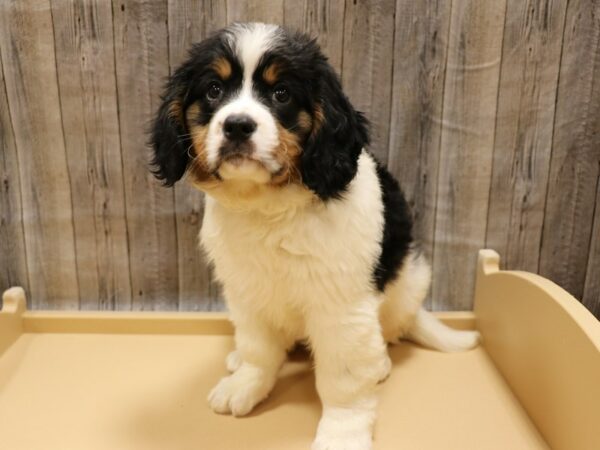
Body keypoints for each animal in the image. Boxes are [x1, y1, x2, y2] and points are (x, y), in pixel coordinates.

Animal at [150, 23, 478, 450]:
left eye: (281, 94)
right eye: (213, 91)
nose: (237, 124)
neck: (269, 209)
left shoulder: (341, 307)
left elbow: (344, 379)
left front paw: (343, 432)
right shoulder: (247, 292)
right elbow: (258, 348)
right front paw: (246, 384)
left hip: (409, 283)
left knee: (387, 335)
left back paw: (381, 364)